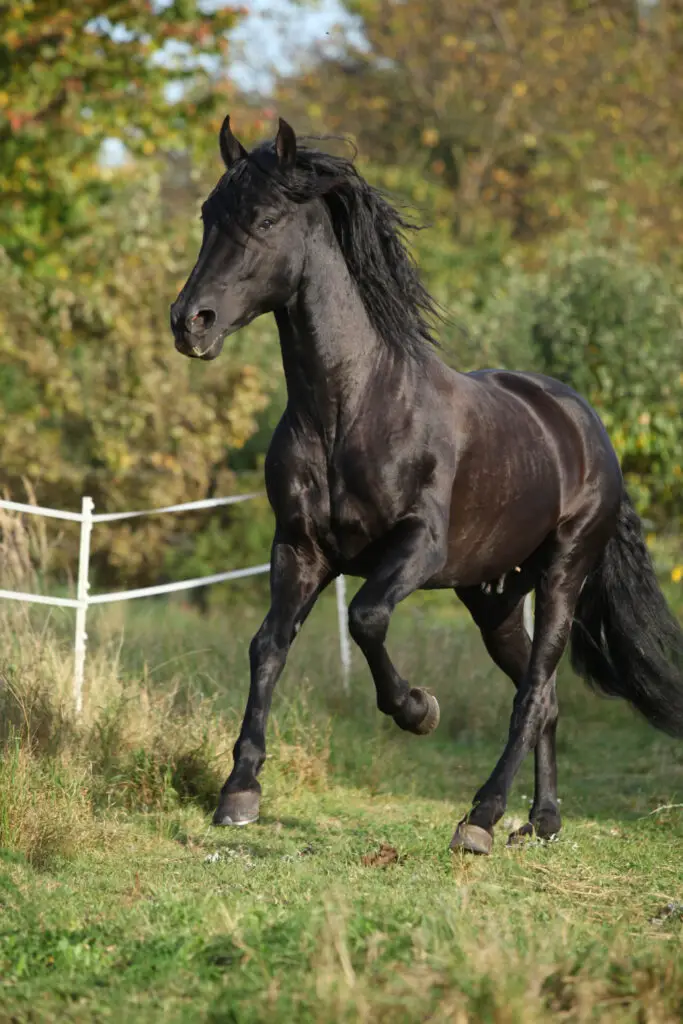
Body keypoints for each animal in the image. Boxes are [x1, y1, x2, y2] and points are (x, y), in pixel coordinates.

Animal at [169, 117, 683, 856]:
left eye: (264, 218)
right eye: (209, 215)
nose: (190, 322)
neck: (351, 409)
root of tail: (586, 426)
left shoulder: (416, 548)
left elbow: (365, 619)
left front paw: (418, 710)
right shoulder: (299, 550)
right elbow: (266, 647)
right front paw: (239, 793)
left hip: (562, 573)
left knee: (533, 692)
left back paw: (482, 818)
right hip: (494, 600)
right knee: (547, 697)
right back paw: (542, 821)